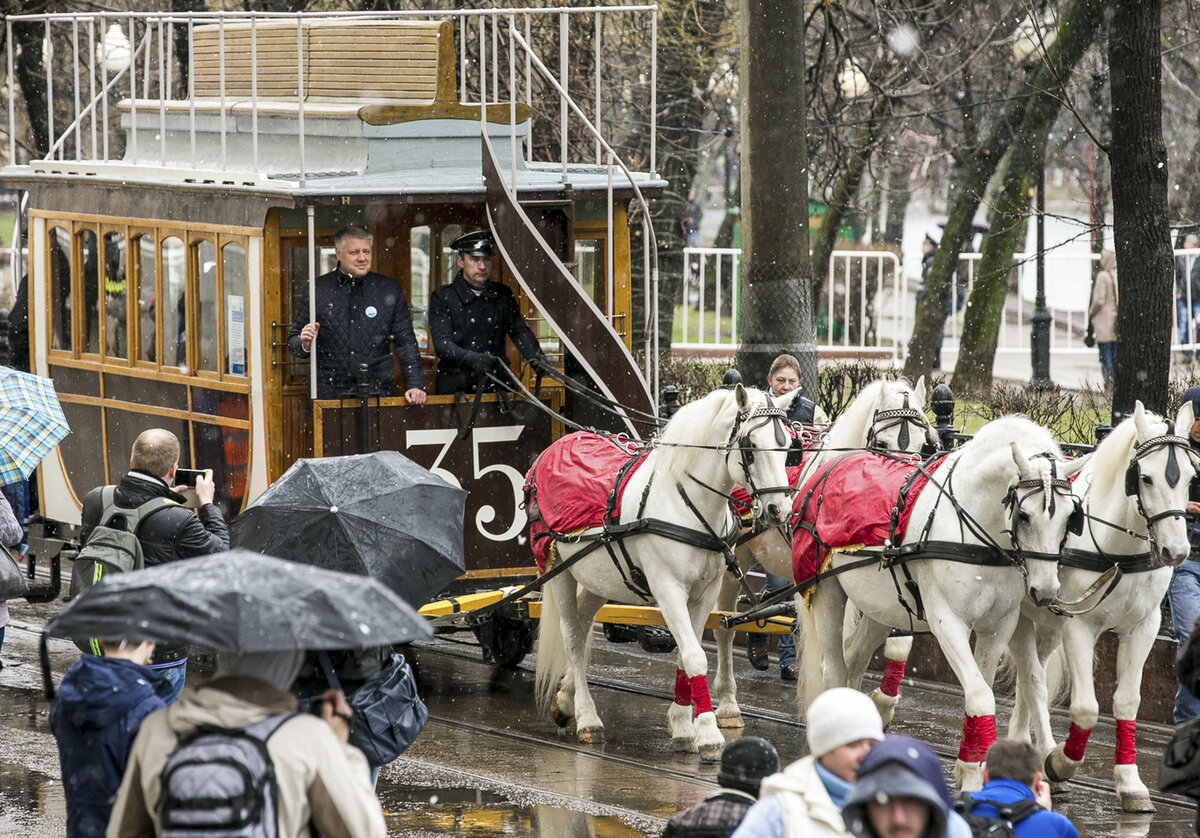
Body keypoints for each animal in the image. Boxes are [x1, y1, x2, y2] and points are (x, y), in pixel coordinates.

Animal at [532, 384, 792, 758]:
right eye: (750, 447)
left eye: (788, 446)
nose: (779, 509)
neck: (685, 501)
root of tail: (556, 446)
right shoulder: (668, 590)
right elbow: (695, 657)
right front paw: (708, 732)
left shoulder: (704, 593)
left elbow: (686, 655)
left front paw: (683, 724)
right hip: (558, 571)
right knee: (571, 637)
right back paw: (587, 716)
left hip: (598, 578)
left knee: (581, 630)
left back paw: (566, 700)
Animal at [710, 376, 936, 725]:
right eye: (882, 444)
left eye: (924, 445)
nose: (902, 488)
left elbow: (891, 643)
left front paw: (882, 704)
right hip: (736, 558)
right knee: (724, 623)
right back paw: (727, 701)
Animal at [796, 415, 1089, 787]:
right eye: (1023, 515)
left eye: (1070, 517)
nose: (1046, 590)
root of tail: (829, 464)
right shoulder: (947, 622)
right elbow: (980, 696)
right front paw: (974, 776)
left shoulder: (999, 625)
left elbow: (982, 688)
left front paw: (970, 768)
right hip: (827, 593)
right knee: (834, 668)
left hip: (880, 607)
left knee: (856, 657)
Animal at [1008, 398, 1195, 811]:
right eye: (1146, 478)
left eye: (1191, 477)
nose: (1176, 551)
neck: (1120, 553)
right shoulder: (1078, 626)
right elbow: (1086, 708)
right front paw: (1062, 761)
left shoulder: (1143, 627)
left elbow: (1126, 701)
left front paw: (1129, 782)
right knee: (1031, 679)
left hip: (1045, 623)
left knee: (1031, 679)